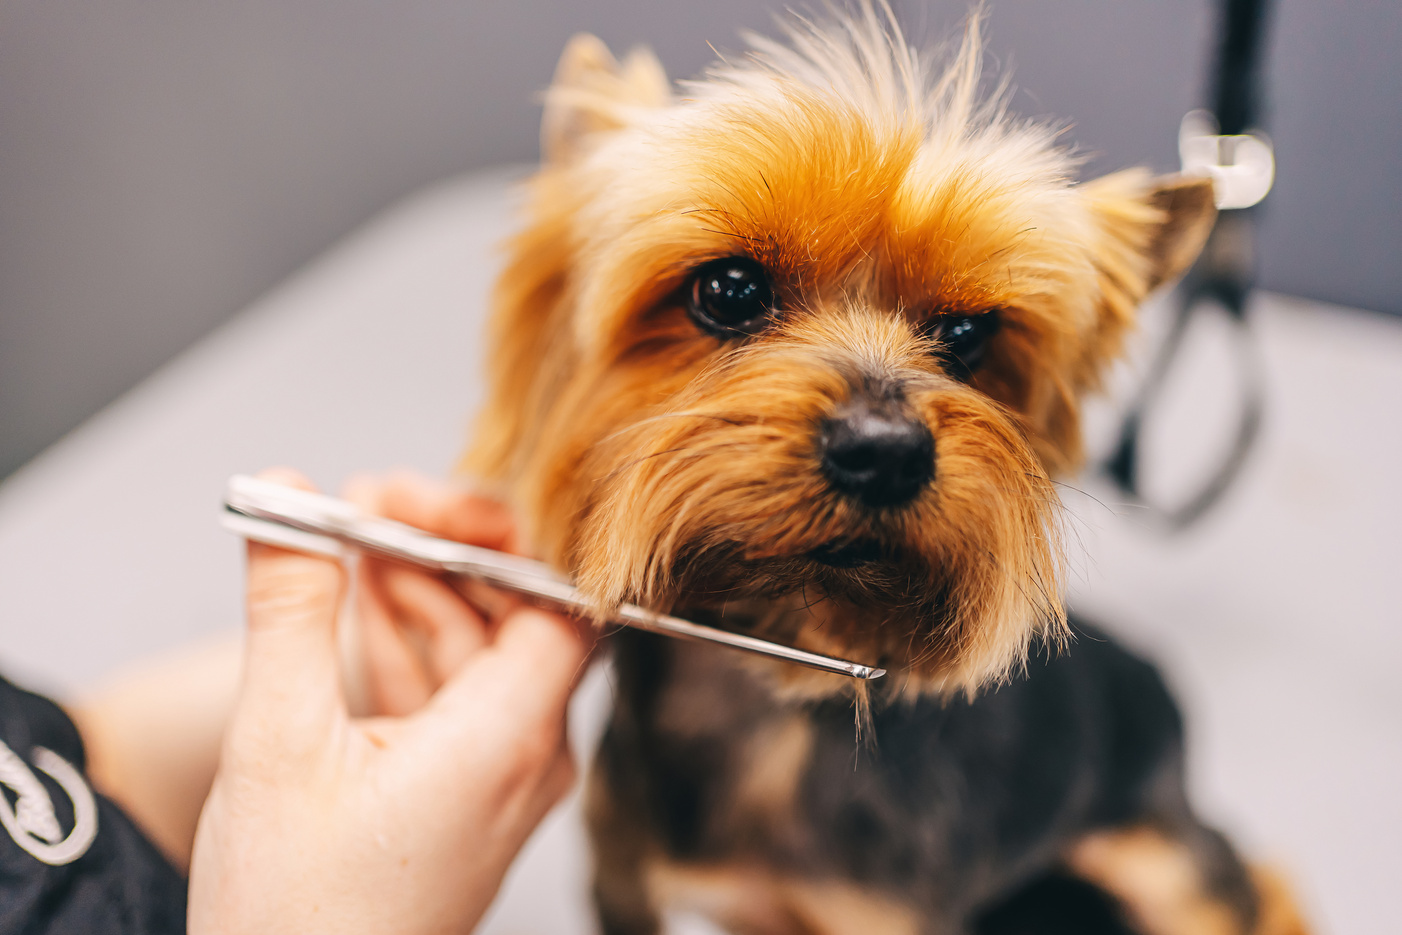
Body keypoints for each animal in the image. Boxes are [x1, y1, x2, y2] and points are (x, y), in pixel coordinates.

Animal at [465, 7, 1306, 935]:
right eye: (728, 289)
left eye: (969, 336)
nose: (885, 450)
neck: (771, 681)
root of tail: (1156, 670)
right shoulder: (621, 876)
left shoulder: (886, 911)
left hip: (1158, 844)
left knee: (1240, 881)